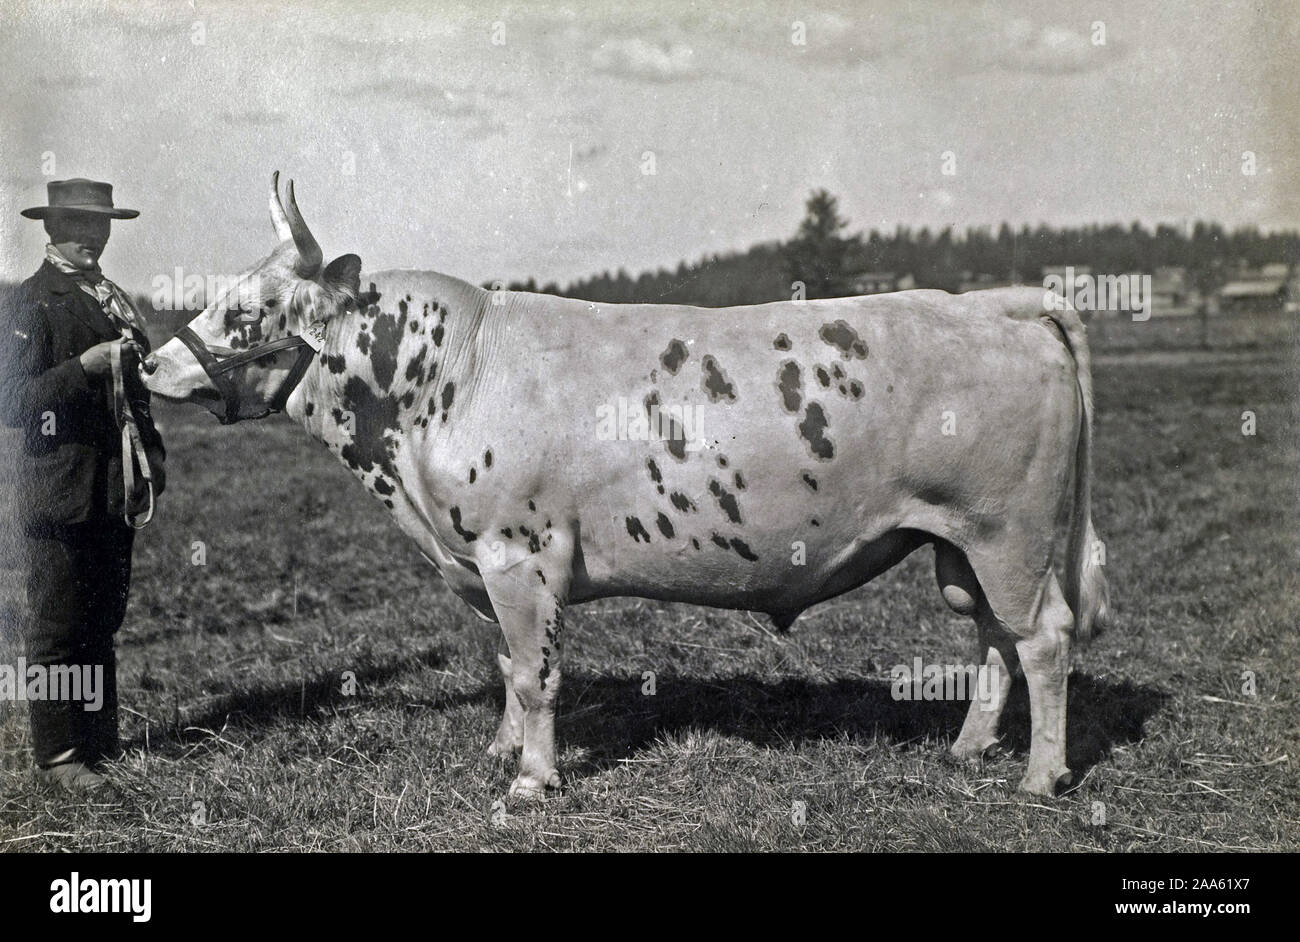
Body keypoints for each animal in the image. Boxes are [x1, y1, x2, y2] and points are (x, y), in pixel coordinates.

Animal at [147, 172, 1112, 795]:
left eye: (244, 312)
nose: (151, 363)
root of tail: (996, 301)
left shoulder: (519, 553)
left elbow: (537, 672)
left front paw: (533, 782)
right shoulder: (481, 564)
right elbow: (507, 664)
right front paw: (502, 754)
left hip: (1009, 533)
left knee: (1044, 639)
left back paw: (1038, 778)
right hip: (963, 545)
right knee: (991, 638)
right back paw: (969, 751)